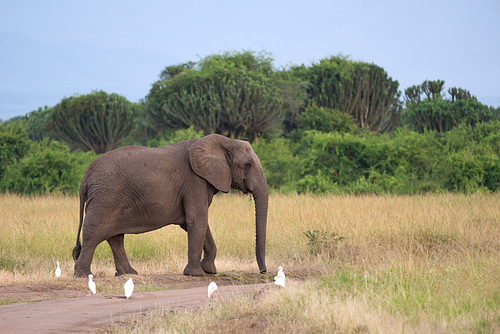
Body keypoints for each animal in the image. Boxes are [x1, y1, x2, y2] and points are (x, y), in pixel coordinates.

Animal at [72, 134, 268, 278]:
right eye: (248, 165)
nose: (263, 271)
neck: (225, 141)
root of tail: (85, 179)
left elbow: (199, 223)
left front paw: (210, 271)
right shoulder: (194, 181)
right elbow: (196, 220)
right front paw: (195, 274)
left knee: (115, 237)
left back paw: (129, 274)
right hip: (105, 198)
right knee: (94, 234)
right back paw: (83, 275)